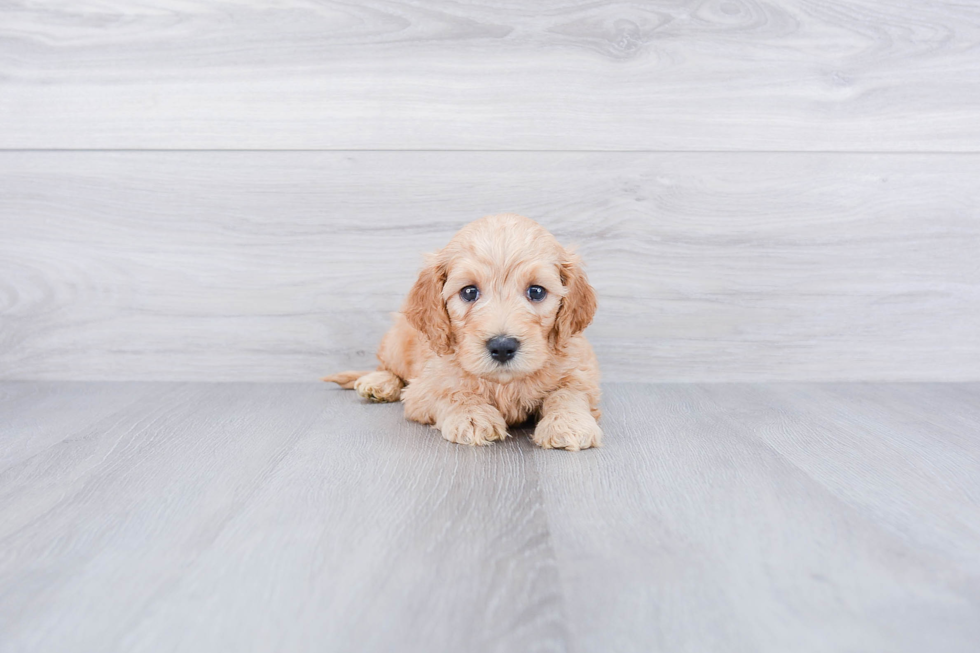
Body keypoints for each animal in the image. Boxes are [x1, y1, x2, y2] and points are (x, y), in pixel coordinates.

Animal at [326, 214, 600, 448]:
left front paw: (568, 423)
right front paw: (472, 416)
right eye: (469, 292)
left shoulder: (580, 370)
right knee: (387, 367)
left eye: (536, 291)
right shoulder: (424, 388)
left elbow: (569, 392)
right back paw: (378, 383)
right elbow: (451, 392)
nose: (502, 347)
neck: (504, 383)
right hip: (396, 342)